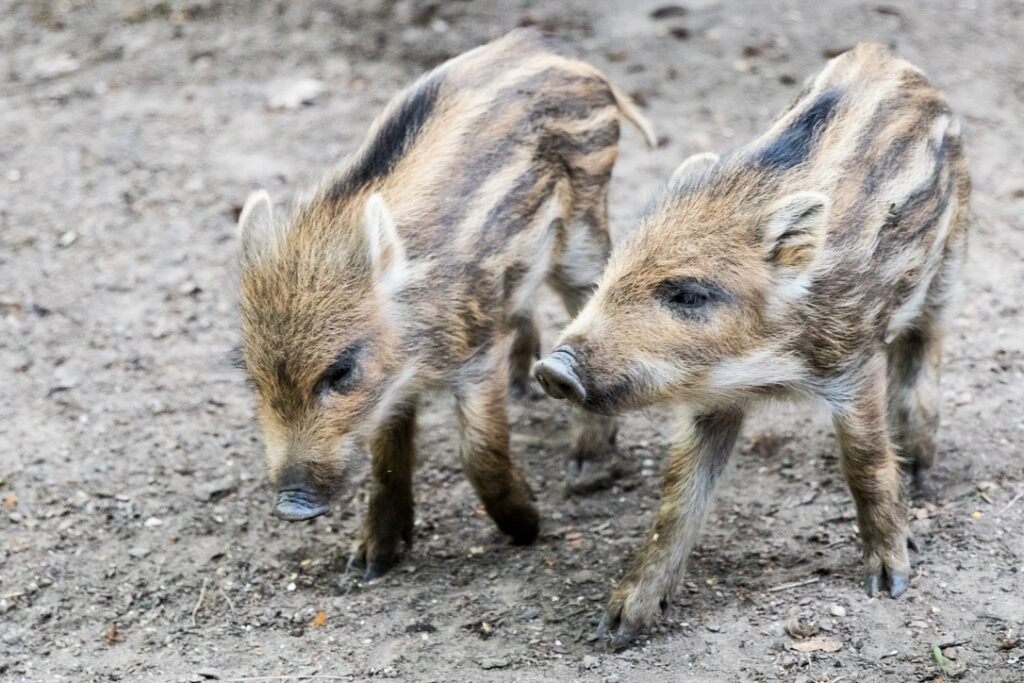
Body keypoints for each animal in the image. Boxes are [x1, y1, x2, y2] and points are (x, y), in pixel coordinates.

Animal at [235, 29, 656, 579]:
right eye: (252, 377)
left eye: (341, 371)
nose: (290, 506)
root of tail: (554, 51)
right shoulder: (395, 389)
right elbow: (388, 462)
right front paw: (369, 563)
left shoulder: (475, 356)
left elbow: (478, 451)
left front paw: (528, 527)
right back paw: (522, 391)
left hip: (583, 228)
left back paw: (587, 470)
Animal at [533, 43, 970, 645]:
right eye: (609, 274)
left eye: (689, 294)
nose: (551, 370)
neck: (762, 368)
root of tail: (887, 57)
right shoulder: (711, 400)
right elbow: (677, 498)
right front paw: (618, 625)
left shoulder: (854, 362)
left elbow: (865, 462)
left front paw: (890, 583)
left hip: (950, 259)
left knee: (928, 343)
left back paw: (923, 473)